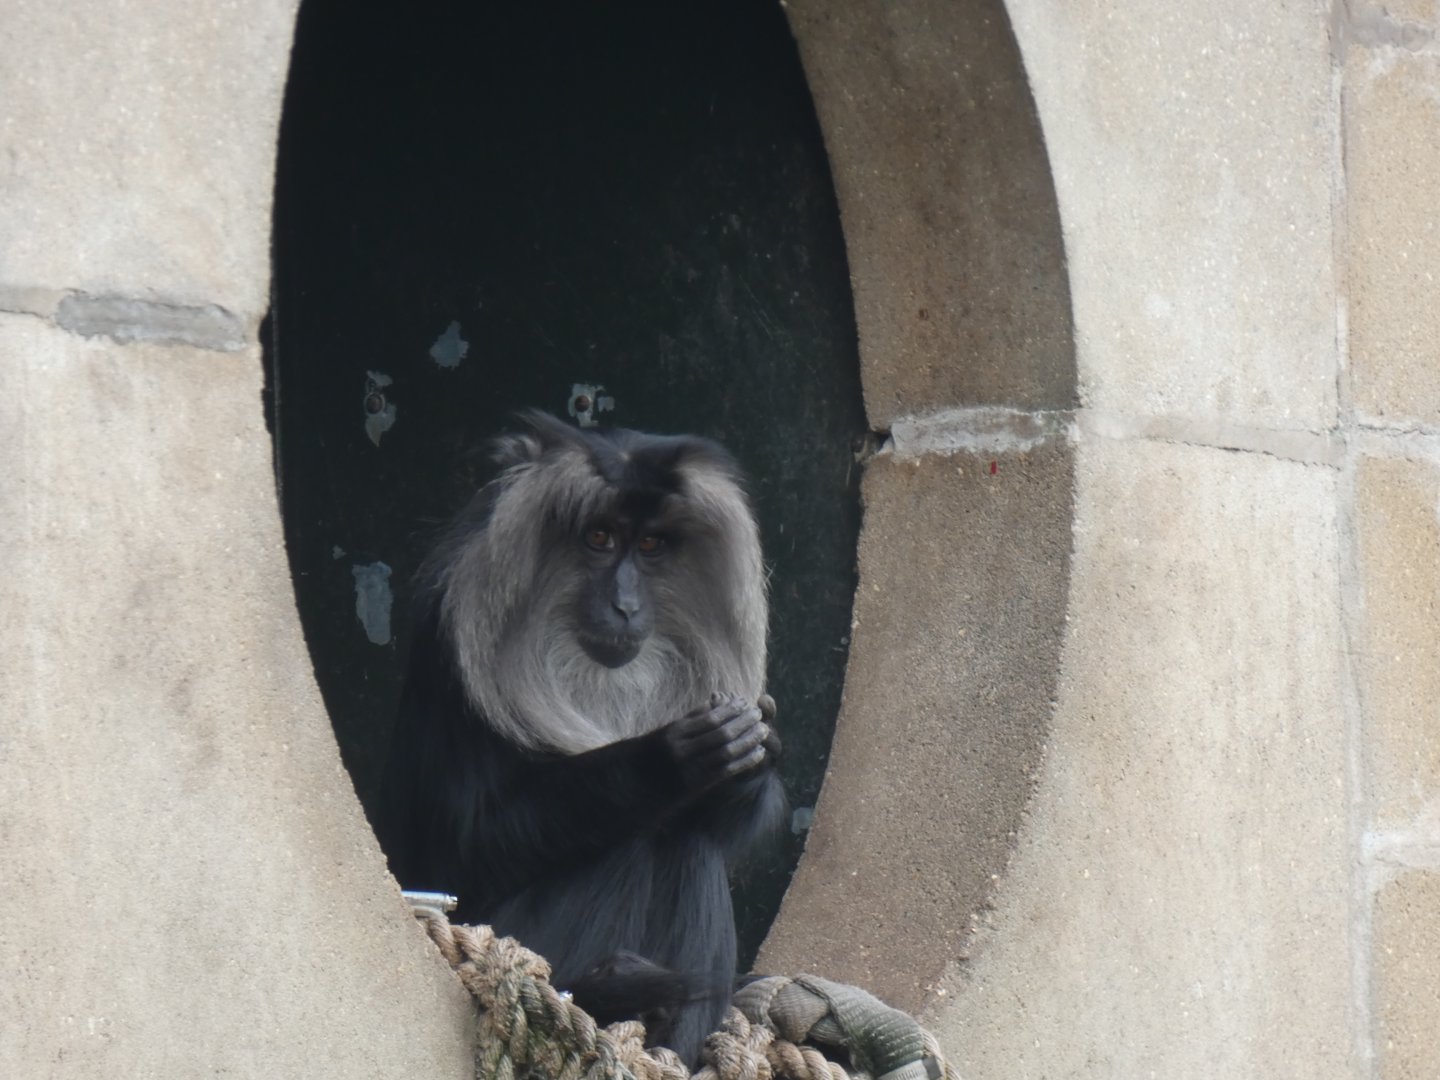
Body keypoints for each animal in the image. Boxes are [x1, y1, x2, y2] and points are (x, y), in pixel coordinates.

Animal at [376, 411, 787, 1065]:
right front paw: (668, 759)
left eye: (651, 545)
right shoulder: (454, 651)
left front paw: (754, 753)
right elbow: (471, 841)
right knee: (639, 840)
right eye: (598, 537)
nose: (625, 605)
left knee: (689, 841)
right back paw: (605, 987)